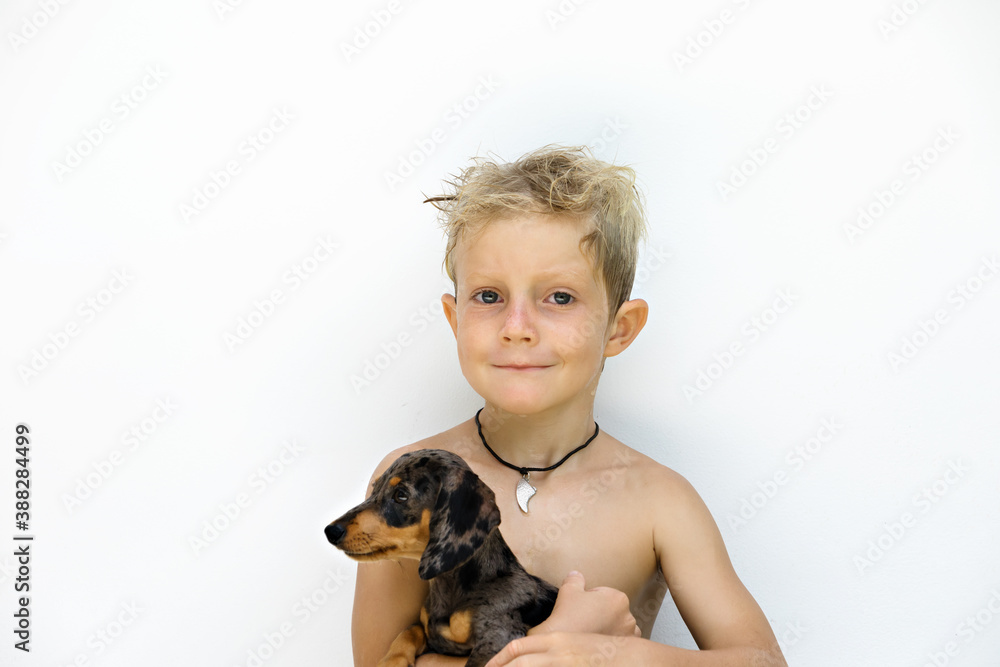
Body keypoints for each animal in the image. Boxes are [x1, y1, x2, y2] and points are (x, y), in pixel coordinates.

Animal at [328, 448, 564, 667]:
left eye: (401, 495)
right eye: (374, 489)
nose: (330, 531)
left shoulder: (499, 638)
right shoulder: (432, 634)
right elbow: (409, 631)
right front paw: (392, 660)